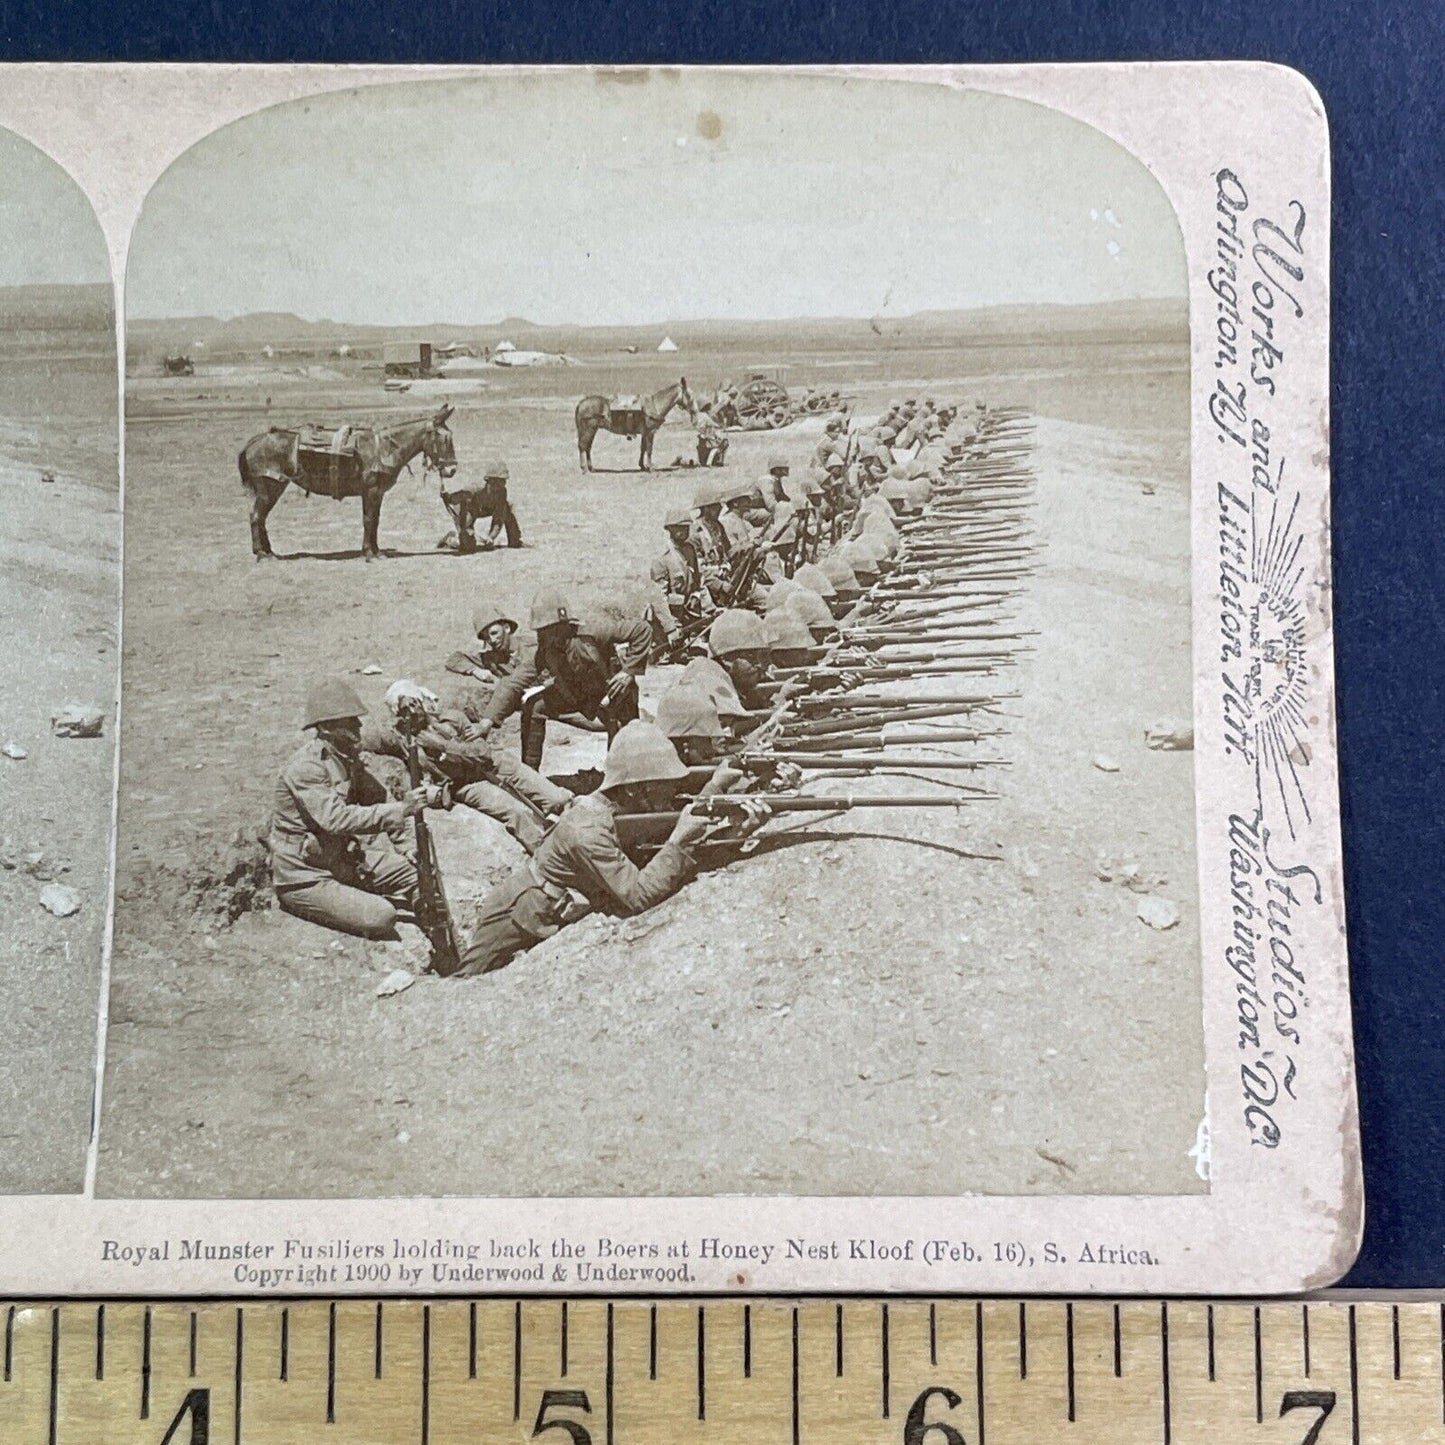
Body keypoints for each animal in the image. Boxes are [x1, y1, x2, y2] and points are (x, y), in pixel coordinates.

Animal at [238, 410, 456, 566]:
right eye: (443, 437)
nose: (452, 469)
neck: (383, 449)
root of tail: (255, 441)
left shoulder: (377, 494)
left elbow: (375, 521)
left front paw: (376, 551)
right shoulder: (370, 491)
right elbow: (368, 520)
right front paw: (369, 553)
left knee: (261, 517)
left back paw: (269, 552)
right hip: (270, 487)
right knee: (256, 516)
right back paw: (262, 554)